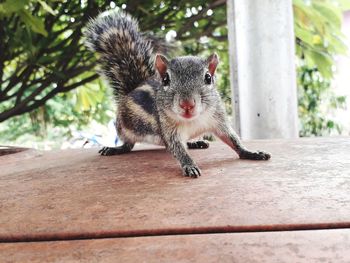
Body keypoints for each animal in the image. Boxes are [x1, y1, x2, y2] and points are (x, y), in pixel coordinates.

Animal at [84, 11, 270, 178]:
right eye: (166, 79)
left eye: (208, 78)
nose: (187, 104)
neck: (193, 121)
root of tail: (133, 88)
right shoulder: (169, 130)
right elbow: (178, 149)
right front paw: (190, 165)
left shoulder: (218, 121)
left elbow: (233, 139)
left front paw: (250, 152)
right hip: (123, 127)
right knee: (128, 144)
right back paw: (115, 148)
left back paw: (195, 142)